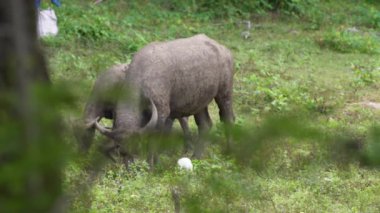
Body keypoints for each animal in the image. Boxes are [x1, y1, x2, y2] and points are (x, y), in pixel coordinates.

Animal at [94, 34, 235, 164]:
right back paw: (196, 156)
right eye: (122, 152)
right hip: (199, 102)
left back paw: (229, 151)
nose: (130, 167)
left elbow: (154, 141)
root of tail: (224, 50)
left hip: (224, 93)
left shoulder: (162, 114)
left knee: (228, 118)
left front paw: (152, 165)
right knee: (205, 125)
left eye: (135, 146)